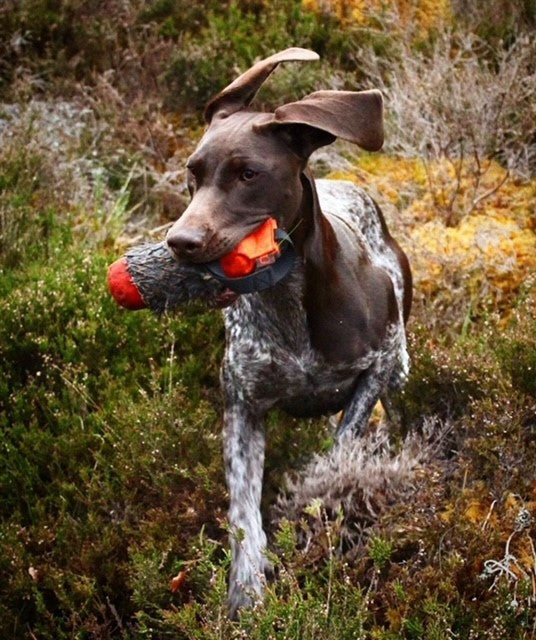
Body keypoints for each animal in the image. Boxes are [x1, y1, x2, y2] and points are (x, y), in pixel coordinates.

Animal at [165, 47, 412, 616]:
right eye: (192, 173)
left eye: (248, 173)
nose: (180, 242)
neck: (289, 304)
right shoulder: (243, 408)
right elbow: (242, 511)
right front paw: (246, 587)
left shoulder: (378, 365)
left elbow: (340, 446)